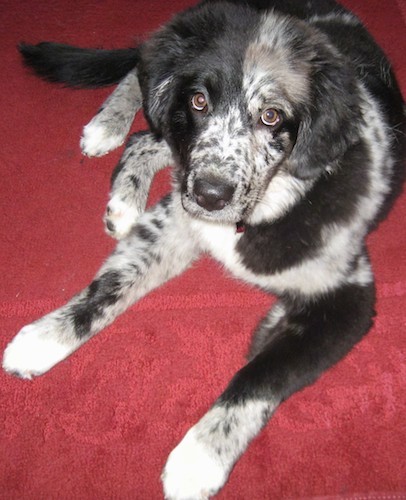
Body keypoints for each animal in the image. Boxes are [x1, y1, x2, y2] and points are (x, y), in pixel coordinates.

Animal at [1, 0, 404, 500]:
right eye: (199, 101)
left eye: (272, 116)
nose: (211, 194)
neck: (267, 203)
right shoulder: (176, 219)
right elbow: (109, 287)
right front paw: (43, 337)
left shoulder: (348, 295)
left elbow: (262, 374)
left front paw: (199, 456)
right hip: (168, 107)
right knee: (142, 95)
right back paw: (108, 130)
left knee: (149, 140)